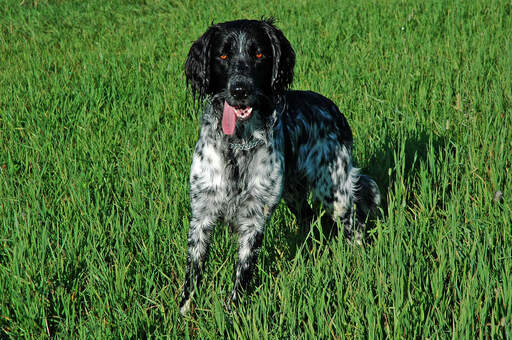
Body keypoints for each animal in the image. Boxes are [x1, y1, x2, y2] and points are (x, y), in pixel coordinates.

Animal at [180, 19, 380, 316]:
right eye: (223, 56)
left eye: (259, 54)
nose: (240, 90)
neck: (238, 143)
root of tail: (333, 108)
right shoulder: (202, 213)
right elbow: (193, 272)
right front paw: (183, 313)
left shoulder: (255, 217)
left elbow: (243, 273)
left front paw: (232, 313)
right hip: (294, 194)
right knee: (308, 217)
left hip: (335, 193)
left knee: (354, 227)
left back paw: (358, 263)